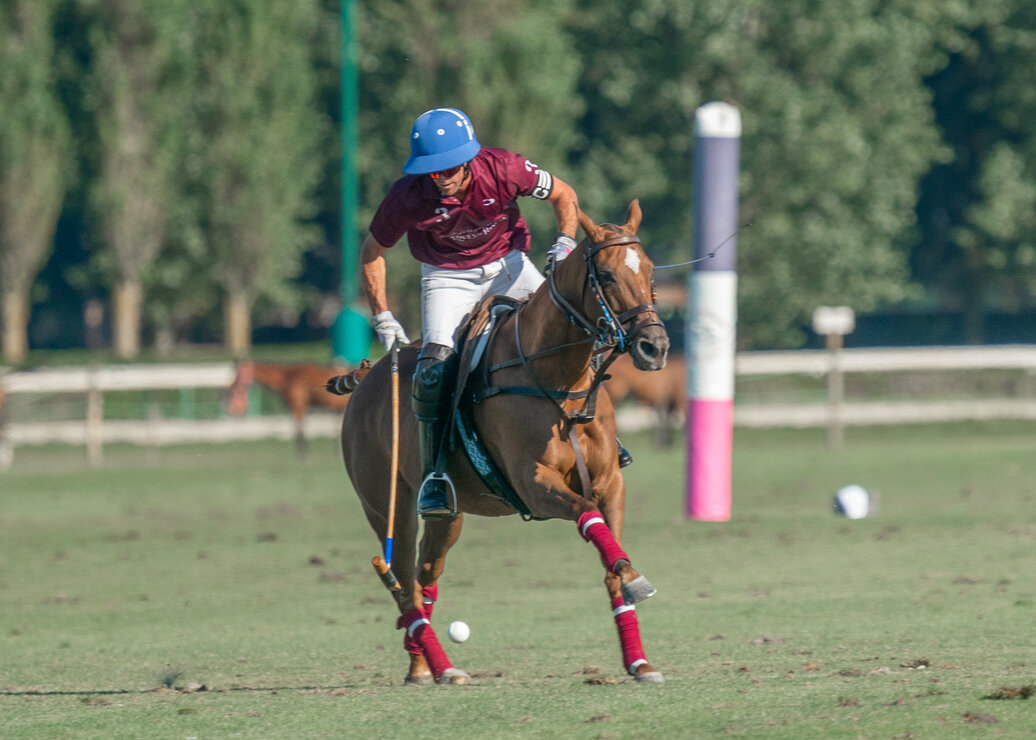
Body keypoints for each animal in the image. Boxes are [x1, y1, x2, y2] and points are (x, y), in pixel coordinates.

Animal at [222, 358, 360, 456]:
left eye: (240, 373)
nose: (232, 385)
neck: (288, 377)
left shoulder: (298, 406)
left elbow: (299, 428)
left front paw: (304, 453)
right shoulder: (294, 408)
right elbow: (298, 428)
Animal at [331, 198, 671, 684]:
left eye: (650, 272)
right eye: (605, 276)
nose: (654, 346)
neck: (560, 380)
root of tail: (367, 376)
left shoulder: (610, 482)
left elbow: (612, 562)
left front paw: (640, 660)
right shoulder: (534, 482)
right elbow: (588, 518)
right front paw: (637, 583)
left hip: (447, 513)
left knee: (424, 575)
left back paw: (422, 664)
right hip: (385, 505)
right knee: (401, 579)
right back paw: (441, 665)